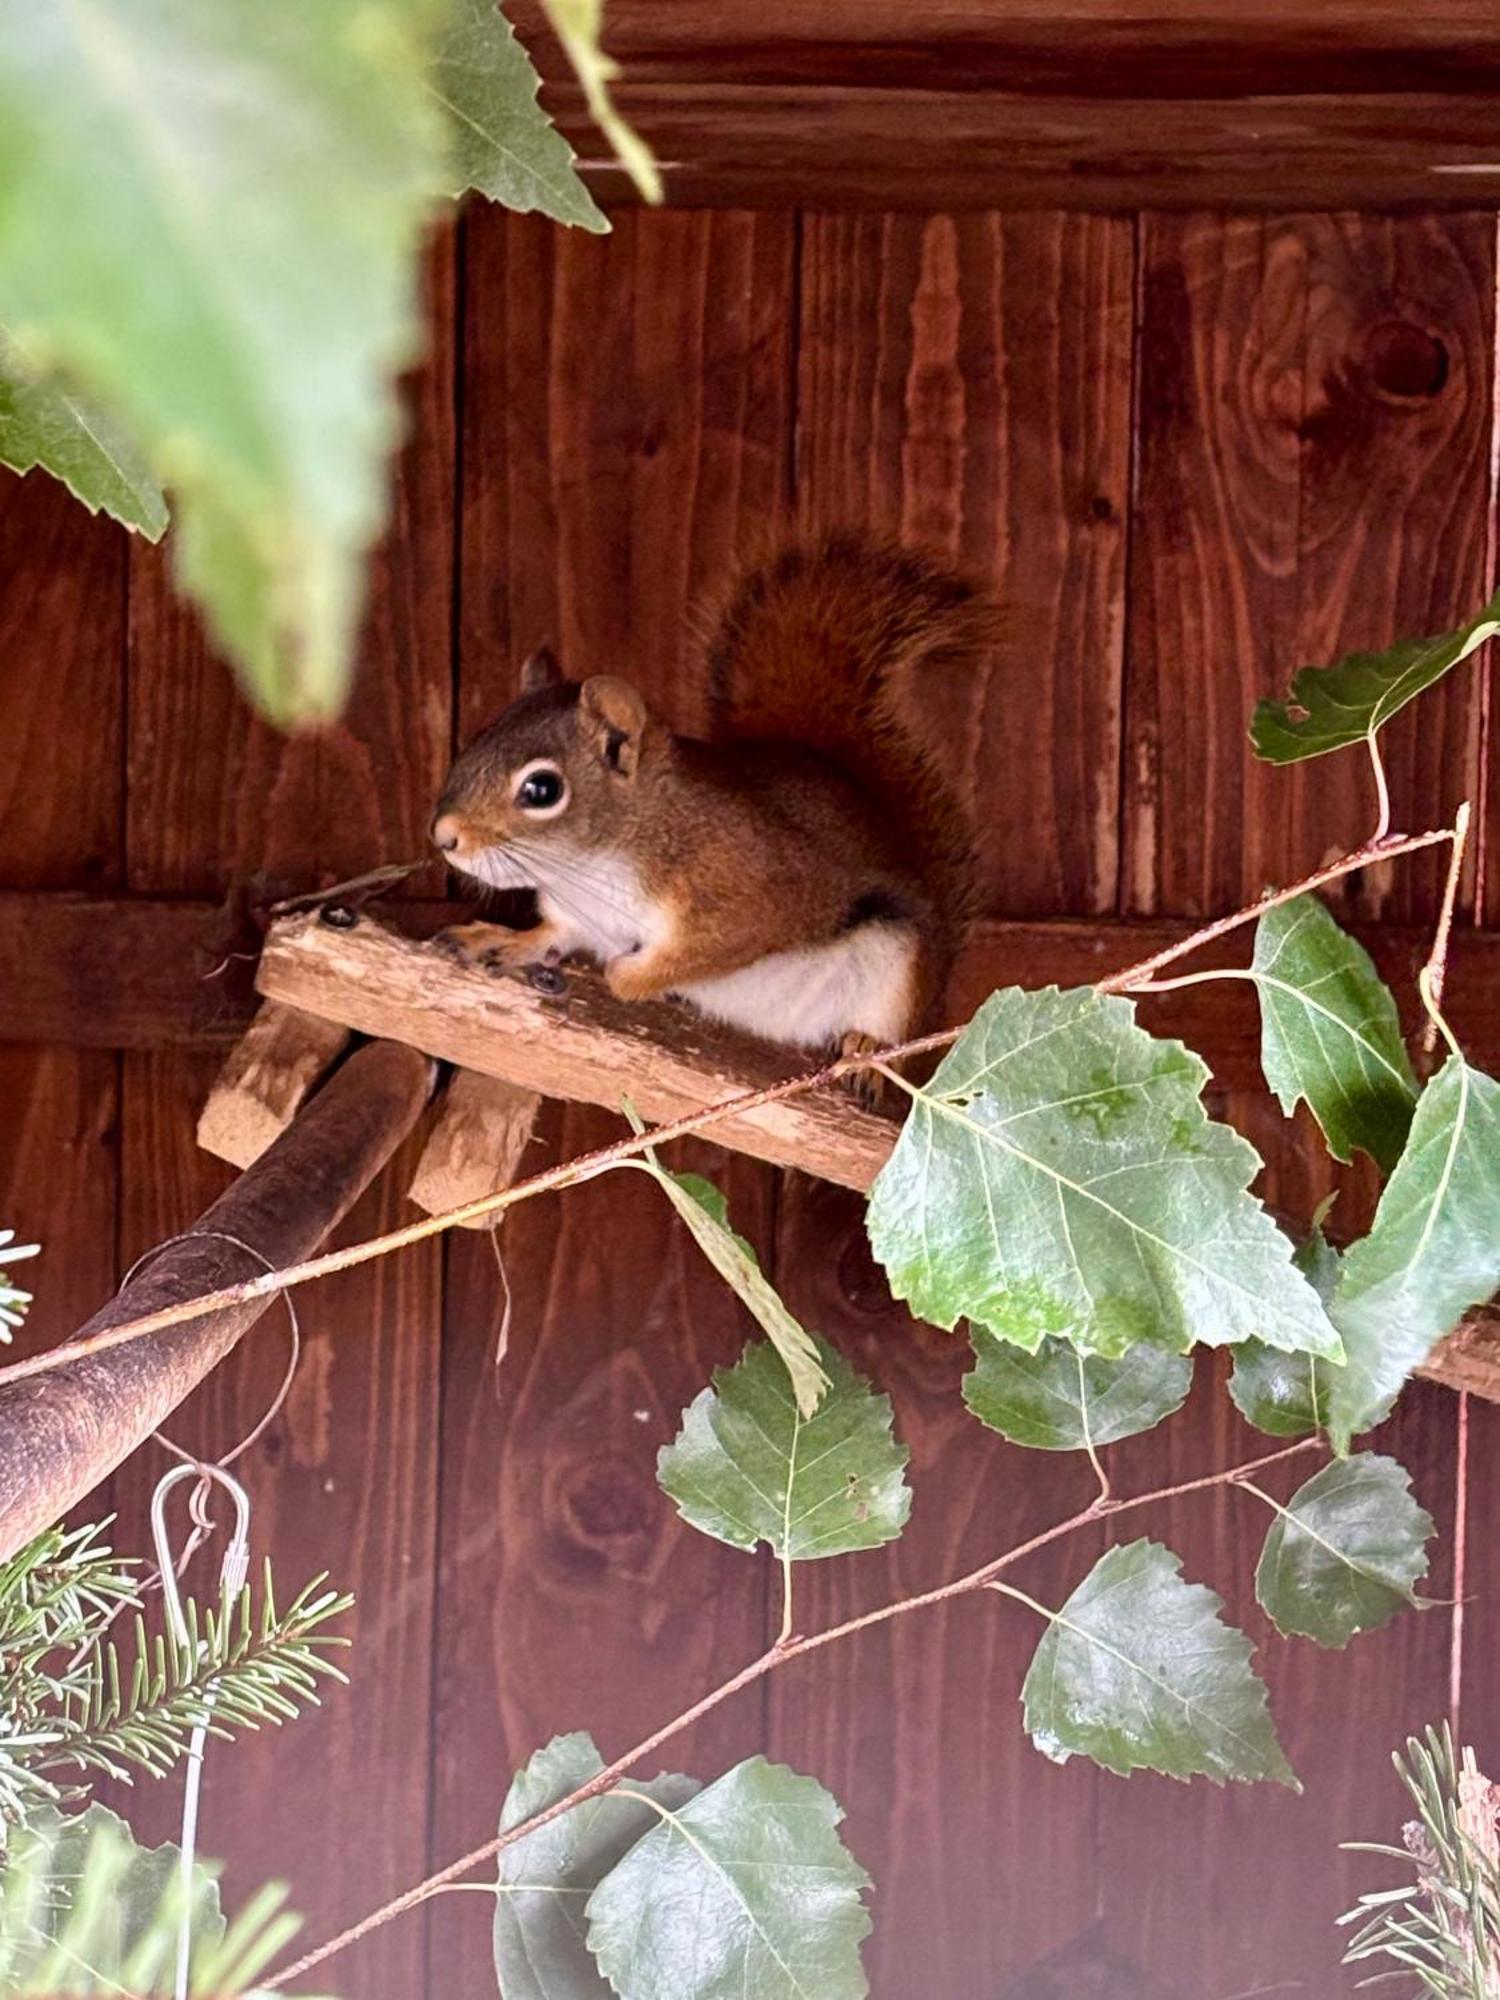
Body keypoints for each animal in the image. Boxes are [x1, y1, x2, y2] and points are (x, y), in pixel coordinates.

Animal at [432, 528, 1000, 1064]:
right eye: (476, 738)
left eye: (542, 789)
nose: (443, 837)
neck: (598, 863)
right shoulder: (580, 916)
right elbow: (555, 935)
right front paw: (504, 939)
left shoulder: (748, 889)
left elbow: (710, 948)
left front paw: (629, 976)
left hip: (899, 969)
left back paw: (866, 1049)